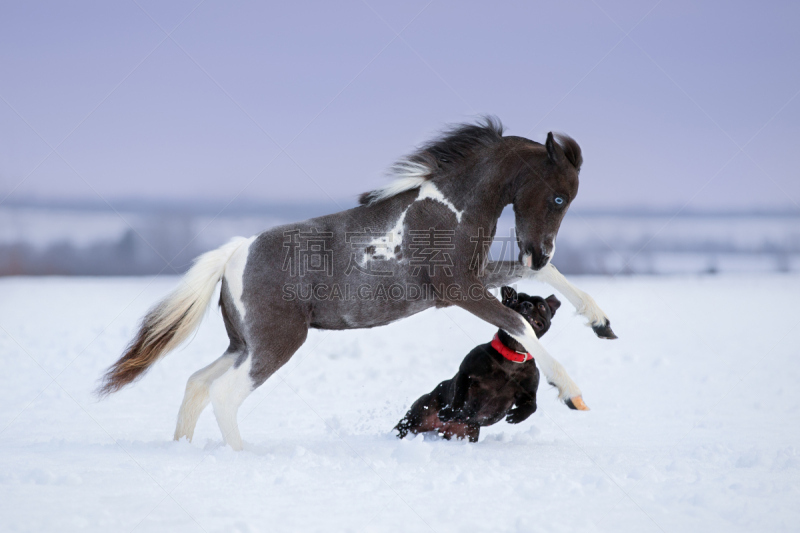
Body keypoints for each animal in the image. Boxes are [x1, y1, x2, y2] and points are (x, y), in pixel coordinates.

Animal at [396, 286, 564, 440]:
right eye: (515, 300)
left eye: (541, 306)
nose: (527, 304)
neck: (513, 355)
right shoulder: (465, 372)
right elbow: (459, 397)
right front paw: (452, 411)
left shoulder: (528, 393)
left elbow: (532, 406)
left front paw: (517, 416)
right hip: (416, 418)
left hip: (466, 433)